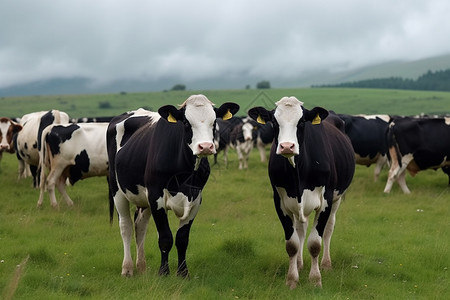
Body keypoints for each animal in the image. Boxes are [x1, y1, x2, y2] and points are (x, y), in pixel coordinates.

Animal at [107, 95, 239, 278]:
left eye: (214, 123)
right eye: (186, 123)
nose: (205, 147)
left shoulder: (196, 199)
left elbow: (182, 239)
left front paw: (183, 272)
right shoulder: (156, 196)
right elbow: (165, 238)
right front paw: (164, 272)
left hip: (143, 199)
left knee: (140, 226)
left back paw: (142, 267)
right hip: (117, 190)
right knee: (125, 227)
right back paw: (127, 269)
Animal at [246, 96, 356, 288]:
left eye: (302, 121)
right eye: (274, 122)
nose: (287, 146)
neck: (297, 174)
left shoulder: (326, 200)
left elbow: (315, 243)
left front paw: (315, 280)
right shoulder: (280, 202)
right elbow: (292, 244)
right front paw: (292, 279)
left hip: (337, 198)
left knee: (329, 228)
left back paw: (326, 264)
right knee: (301, 229)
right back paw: (298, 264)